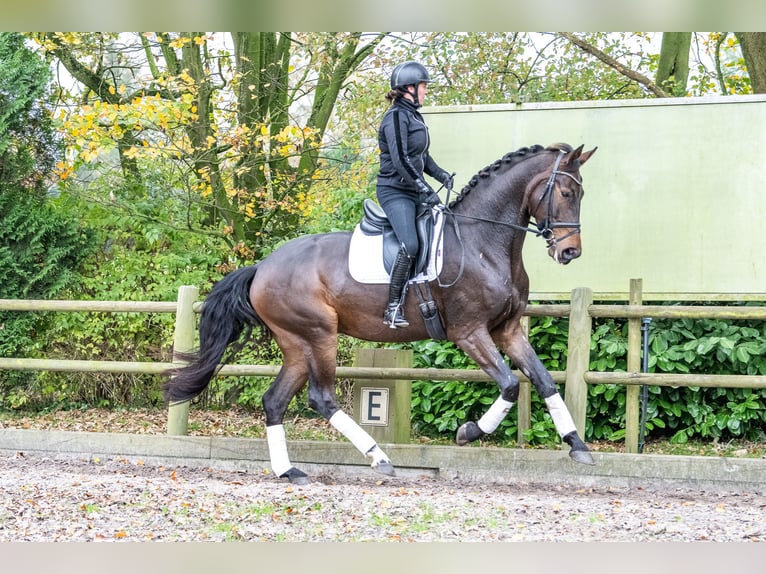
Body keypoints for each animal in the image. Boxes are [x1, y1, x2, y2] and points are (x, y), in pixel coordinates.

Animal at [166, 144, 600, 486]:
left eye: (582, 193)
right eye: (565, 191)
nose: (570, 251)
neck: (482, 242)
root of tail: (262, 267)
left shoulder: (508, 330)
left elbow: (543, 381)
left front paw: (577, 446)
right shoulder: (469, 332)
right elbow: (510, 385)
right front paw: (469, 431)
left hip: (296, 344)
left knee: (275, 401)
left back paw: (289, 471)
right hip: (319, 335)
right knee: (321, 397)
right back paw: (378, 457)